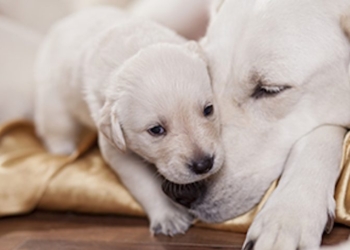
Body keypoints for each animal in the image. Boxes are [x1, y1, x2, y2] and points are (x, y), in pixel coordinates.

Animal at [33, 6, 224, 235]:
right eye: (156, 130)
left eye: (208, 109)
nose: (203, 165)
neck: (134, 47)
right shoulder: (115, 148)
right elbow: (144, 184)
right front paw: (168, 216)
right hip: (54, 99)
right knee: (55, 128)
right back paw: (63, 150)